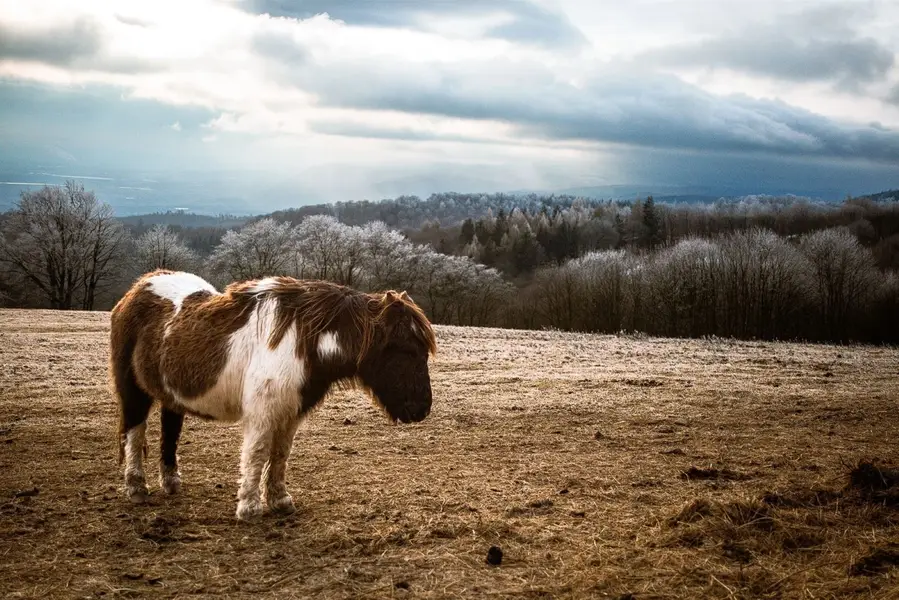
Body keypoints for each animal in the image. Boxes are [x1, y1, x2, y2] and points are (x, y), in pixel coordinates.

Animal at [110, 270, 438, 520]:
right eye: (406, 349)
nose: (421, 409)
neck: (305, 341)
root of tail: (138, 287)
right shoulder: (262, 414)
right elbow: (256, 454)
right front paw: (249, 508)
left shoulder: (290, 413)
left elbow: (280, 454)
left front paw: (280, 501)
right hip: (133, 393)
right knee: (134, 433)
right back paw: (136, 487)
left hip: (172, 397)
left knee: (170, 433)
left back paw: (171, 482)